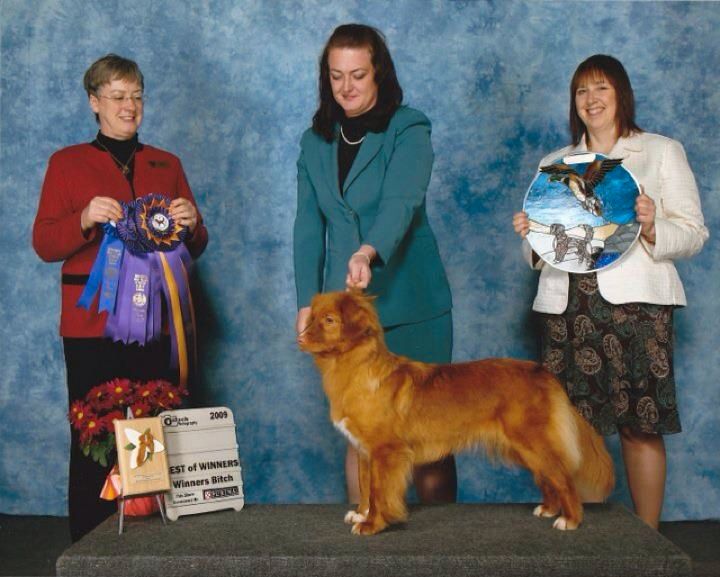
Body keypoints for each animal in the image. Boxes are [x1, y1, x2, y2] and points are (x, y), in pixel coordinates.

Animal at [298, 290, 612, 532]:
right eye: (312, 318)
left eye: (329, 320)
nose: (300, 338)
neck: (353, 368)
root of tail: (541, 372)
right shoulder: (364, 451)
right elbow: (365, 487)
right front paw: (361, 513)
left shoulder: (386, 451)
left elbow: (379, 491)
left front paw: (372, 524)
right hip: (523, 447)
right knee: (548, 477)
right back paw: (548, 508)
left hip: (533, 440)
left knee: (563, 477)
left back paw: (570, 520)